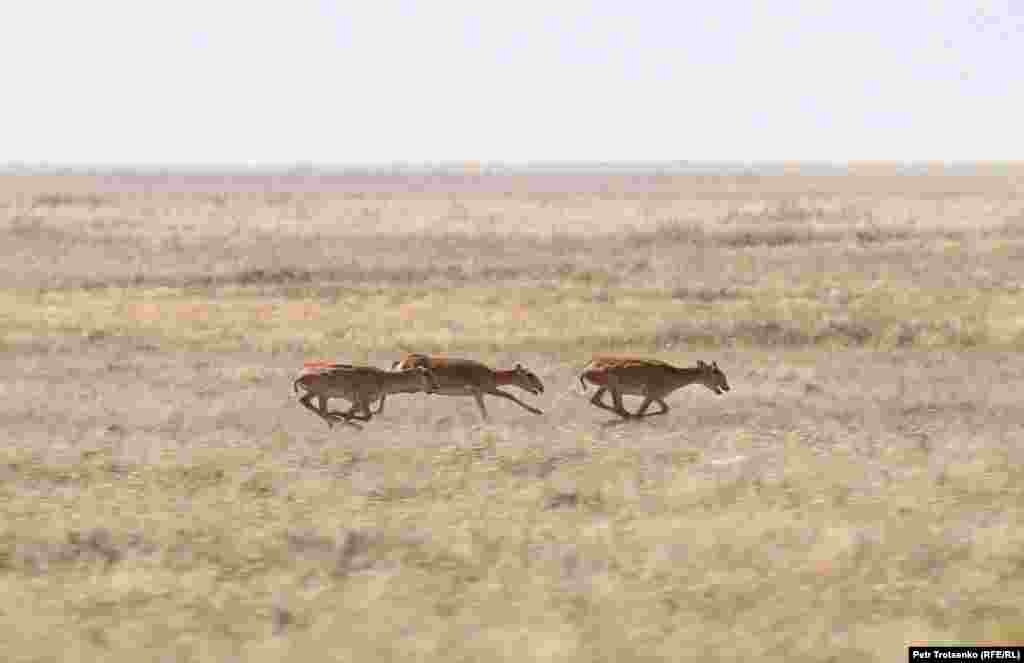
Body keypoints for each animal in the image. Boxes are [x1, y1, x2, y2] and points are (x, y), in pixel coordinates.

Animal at [292, 360, 436, 428]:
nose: (435, 387)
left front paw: (341, 417)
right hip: (323, 394)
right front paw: (338, 414)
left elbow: (351, 415)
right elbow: (367, 417)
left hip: (318, 394)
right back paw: (336, 420)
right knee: (317, 407)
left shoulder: (357, 403)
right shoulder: (363, 400)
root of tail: (299, 376)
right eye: (427, 375)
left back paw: (335, 421)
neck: (384, 379)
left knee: (307, 402)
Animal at [387, 354, 544, 422]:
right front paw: (537, 411)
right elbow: (509, 395)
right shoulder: (486, 389)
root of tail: (403, 361)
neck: (492, 374)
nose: (541, 388)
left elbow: (482, 408)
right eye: (529, 374)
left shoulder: (478, 393)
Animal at [581, 358, 733, 420]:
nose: (727, 387)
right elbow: (642, 412)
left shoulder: (657, 396)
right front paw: (637, 416)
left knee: (596, 400)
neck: (672, 375)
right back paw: (628, 416)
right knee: (616, 406)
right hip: (614, 386)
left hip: (606, 387)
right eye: (715, 372)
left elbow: (665, 409)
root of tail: (585, 369)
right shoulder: (650, 395)